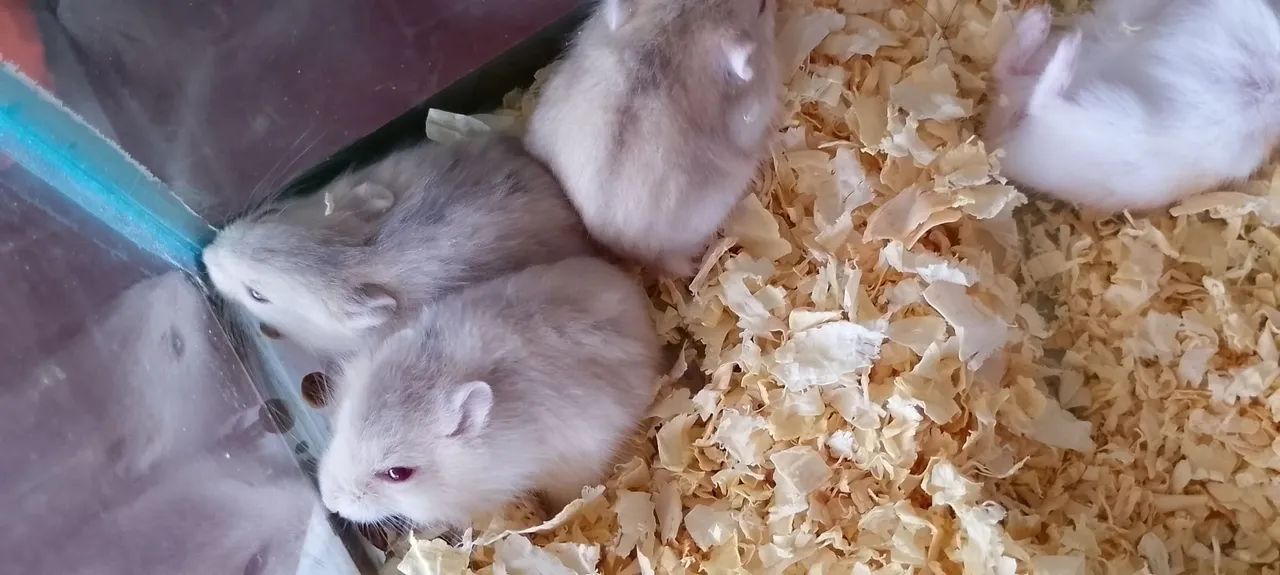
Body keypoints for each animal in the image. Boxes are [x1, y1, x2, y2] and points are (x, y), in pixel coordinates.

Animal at [984, 0, 1280, 212]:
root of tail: (1000, 145)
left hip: (1103, 122)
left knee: (1039, 98)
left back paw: (1063, 42)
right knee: (1006, 71)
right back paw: (1039, 21)